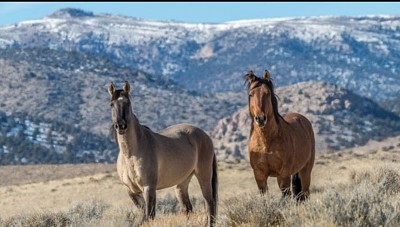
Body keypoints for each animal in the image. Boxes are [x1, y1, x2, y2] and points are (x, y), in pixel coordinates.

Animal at [108, 81, 217, 225]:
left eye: (128, 103)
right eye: (111, 104)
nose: (121, 126)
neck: (130, 154)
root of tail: (205, 136)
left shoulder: (149, 188)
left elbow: (149, 216)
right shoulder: (132, 192)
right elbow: (144, 216)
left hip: (203, 176)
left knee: (209, 204)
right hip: (182, 183)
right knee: (188, 208)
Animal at [244, 69, 316, 200]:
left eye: (267, 93)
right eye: (251, 94)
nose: (260, 119)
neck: (266, 142)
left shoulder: (283, 174)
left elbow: (285, 197)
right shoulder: (259, 176)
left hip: (305, 170)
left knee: (305, 194)